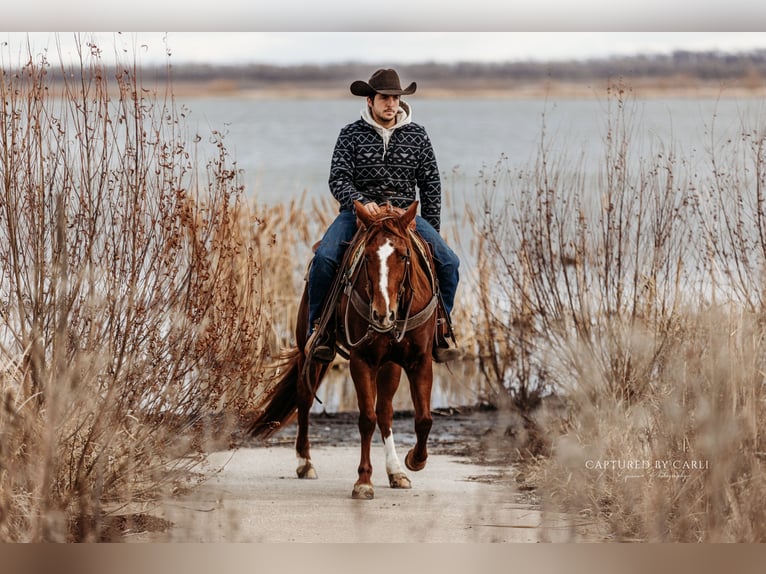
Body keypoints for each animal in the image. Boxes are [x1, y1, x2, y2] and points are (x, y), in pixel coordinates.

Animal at [249, 201, 440, 500]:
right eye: (368, 257)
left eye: (403, 256)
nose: (382, 313)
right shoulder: (362, 361)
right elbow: (366, 419)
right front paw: (363, 481)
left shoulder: (419, 362)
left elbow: (423, 419)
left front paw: (413, 461)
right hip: (310, 350)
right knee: (305, 397)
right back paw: (305, 463)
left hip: (390, 365)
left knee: (386, 411)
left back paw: (395, 471)